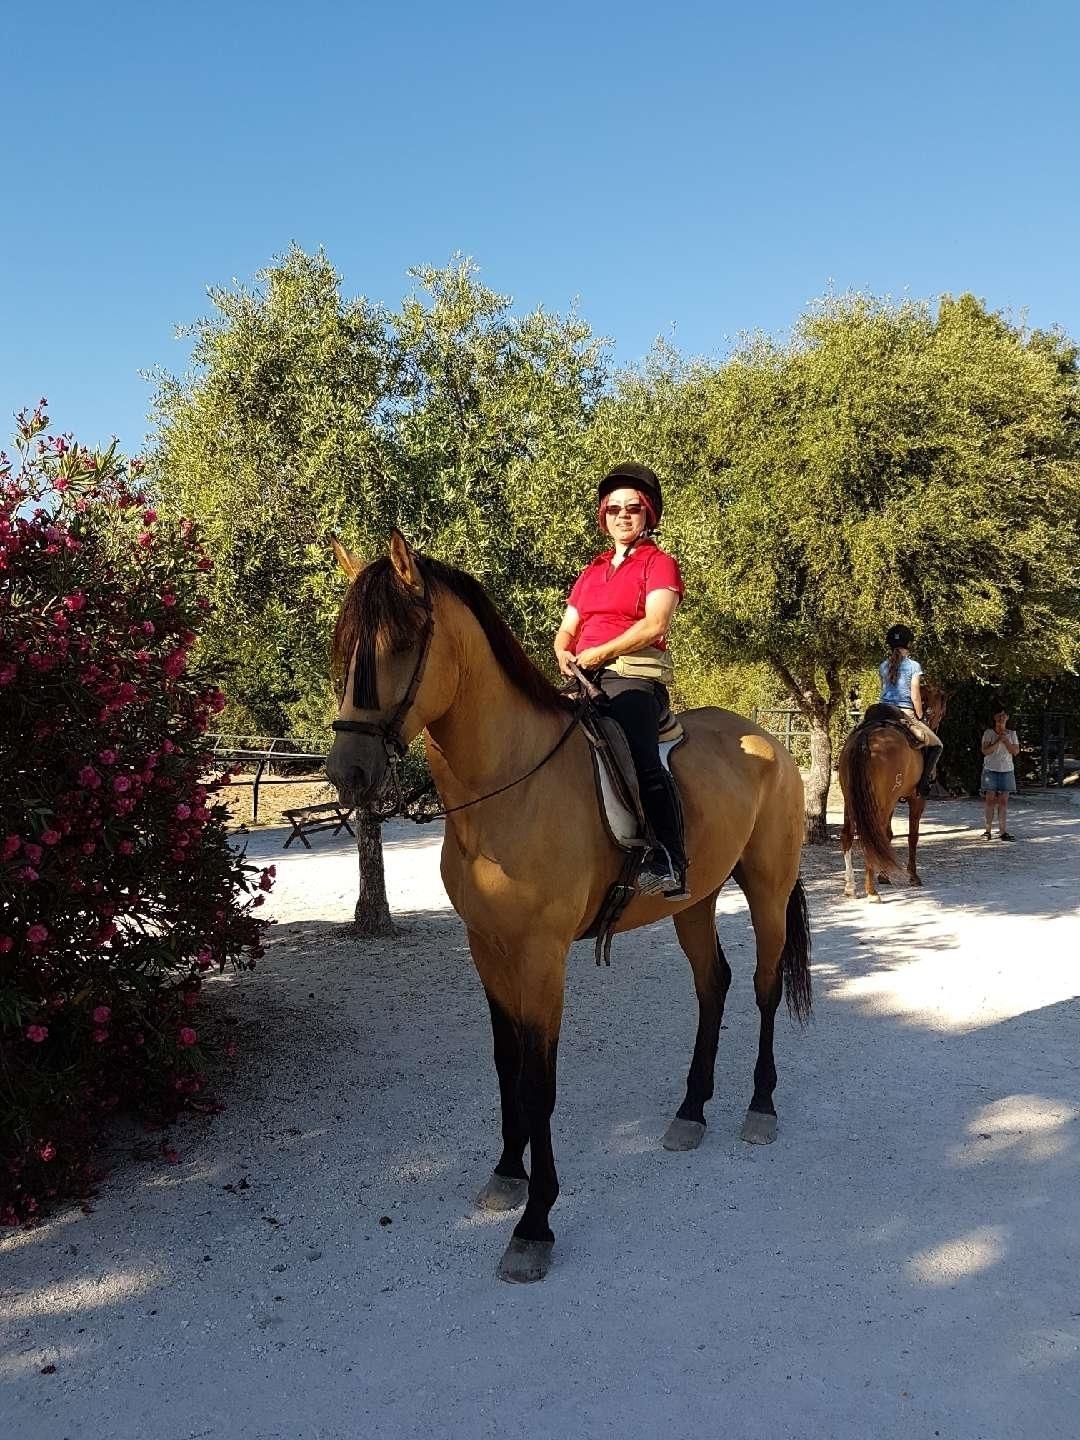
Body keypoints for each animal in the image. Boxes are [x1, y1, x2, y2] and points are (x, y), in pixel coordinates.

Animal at [326, 532, 812, 1284]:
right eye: (344, 642)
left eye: (399, 642)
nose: (345, 773)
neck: (507, 786)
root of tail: (771, 744)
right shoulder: (487, 947)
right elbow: (506, 1065)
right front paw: (507, 1174)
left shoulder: (542, 957)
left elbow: (539, 1081)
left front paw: (535, 1225)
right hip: (696, 900)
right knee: (714, 986)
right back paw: (691, 1111)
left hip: (766, 886)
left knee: (762, 986)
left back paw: (759, 1106)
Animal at [838, 683, 949, 902]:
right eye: (941, 710)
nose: (937, 724)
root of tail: (866, 735)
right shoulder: (917, 799)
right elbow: (912, 836)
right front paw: (913, 876)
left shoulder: (893, 800)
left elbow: (888, 836)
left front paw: (884, 875)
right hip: (881, 801)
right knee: (873, 835)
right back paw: (871, 892)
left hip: (853, 799)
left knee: (850, 834)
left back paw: (851, 887)